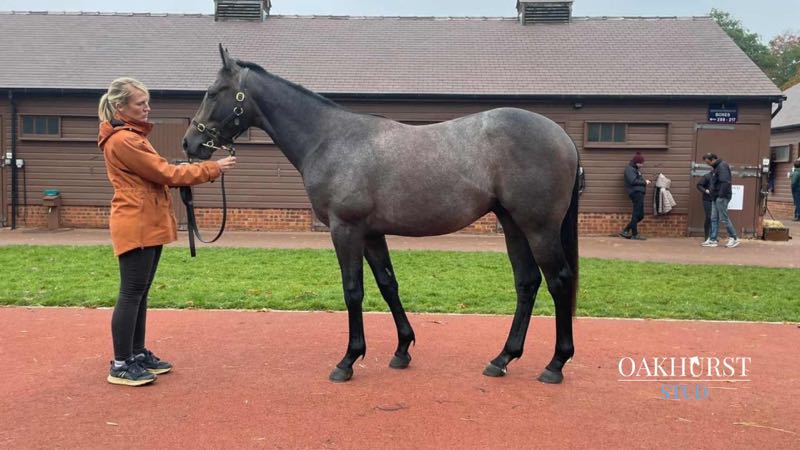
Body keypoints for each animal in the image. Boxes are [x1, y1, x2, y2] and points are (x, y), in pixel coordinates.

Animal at [183, 45, 580, 384]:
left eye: (213, 92)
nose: (191, 143)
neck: (330, 139)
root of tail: (563, 137)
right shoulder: (372, 233)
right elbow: (388, 285)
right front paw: (402, 349)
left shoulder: (346, 230)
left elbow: (353, 290)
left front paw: (348, 360)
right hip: (513, 224)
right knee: (527, 282)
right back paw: (503, 358)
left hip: (538, 227)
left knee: (559, 281)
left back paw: (555, 364)